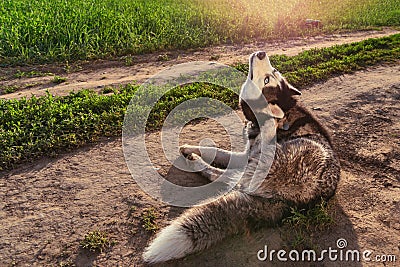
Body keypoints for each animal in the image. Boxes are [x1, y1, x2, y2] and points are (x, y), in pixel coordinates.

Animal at [142, 51, 340, 264]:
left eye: (267, 80)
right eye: (273, 72)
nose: (261, 53)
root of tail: (297, 204)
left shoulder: (251, 158)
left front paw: (193, 153)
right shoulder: (246, 154)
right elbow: (218, 151)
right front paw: (190, 147)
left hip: (267, 165)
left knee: (227, 179)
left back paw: (194, 161)